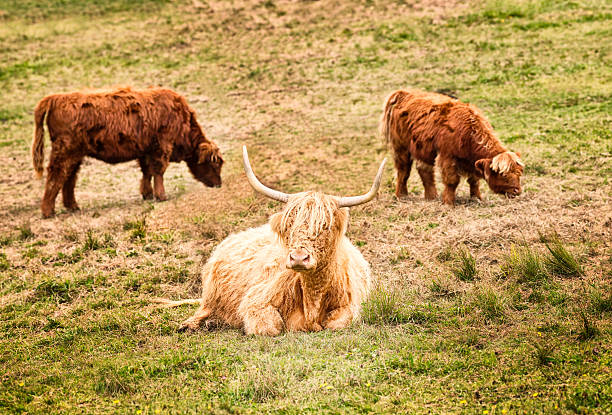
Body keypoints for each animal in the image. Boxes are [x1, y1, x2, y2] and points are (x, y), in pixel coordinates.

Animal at [32, 86, 224, 219]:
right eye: (214, 163)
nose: (219, 184)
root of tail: (56, 98)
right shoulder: (162, 147)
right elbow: (158, 171)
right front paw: (161, 196)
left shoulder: (146, 151)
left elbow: (147, 172)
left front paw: (147, 194)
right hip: (65, 152)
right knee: (56, 176)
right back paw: (48, 212)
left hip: (75, 154)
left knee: (69, 177)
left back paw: (72, 206)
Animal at [155, 148, 384, 336]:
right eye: (289, 225)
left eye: (324, 226)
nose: (298, 258)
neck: (313, 297)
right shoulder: (257, 301)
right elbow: (271, 327)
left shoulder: (350, 306)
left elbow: (337, 324)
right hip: (210, 295)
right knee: (204, 310)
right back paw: (192, 325)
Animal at [380, 88, 524, 206]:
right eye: (503, 175)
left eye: (519, 173)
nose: (517, 190)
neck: (468, 132)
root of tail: (403, 93)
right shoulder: (447, 157)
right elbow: (452, 181)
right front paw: (449, 203)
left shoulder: (472, 162)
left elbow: (474, 180)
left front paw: (476, 198)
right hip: (401, 147)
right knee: (403, 171)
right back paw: (402, 196)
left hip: (423, 149)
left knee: (424, 171)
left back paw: (431, 197)